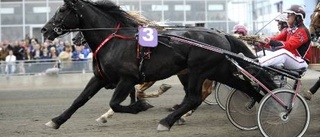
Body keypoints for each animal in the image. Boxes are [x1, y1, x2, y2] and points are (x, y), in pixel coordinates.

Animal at [40, 0, 276, 131]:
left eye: (62, 10)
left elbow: (116, 103)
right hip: (220, 71)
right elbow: (79, 100)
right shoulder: (100, 78)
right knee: (247, 87)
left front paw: (140, 106)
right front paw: (56, 121)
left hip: (198, 71)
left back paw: (168, 121)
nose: (44, 30)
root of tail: (220, 35)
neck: (114, 40)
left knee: (194, 97)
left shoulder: (128, 79)